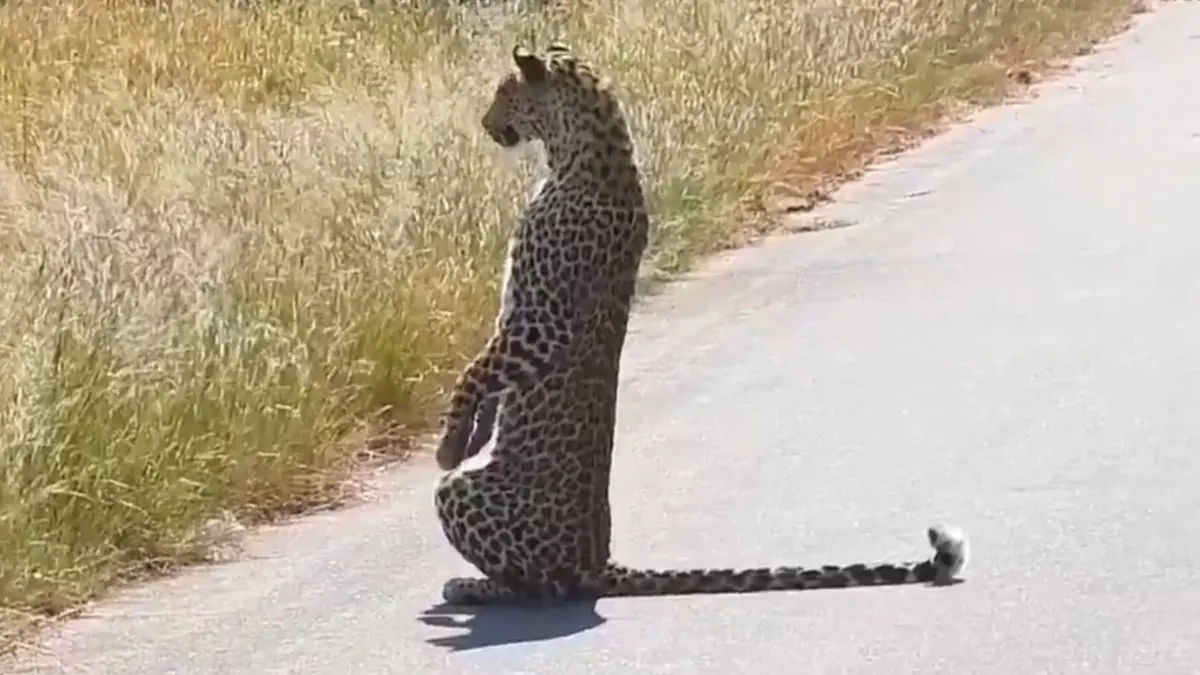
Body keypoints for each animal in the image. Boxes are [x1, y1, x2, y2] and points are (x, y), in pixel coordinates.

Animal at [432, 43, 970, 605]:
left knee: (540, 586)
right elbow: (488, 370)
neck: (576, 153)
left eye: (504, 93)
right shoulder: (516, 315)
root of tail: (599, 563)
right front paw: (473, 436)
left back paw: (469, 587)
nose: (486, 123)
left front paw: (449, 446)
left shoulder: (542, 323)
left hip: (470, 501)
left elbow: (475, 371)